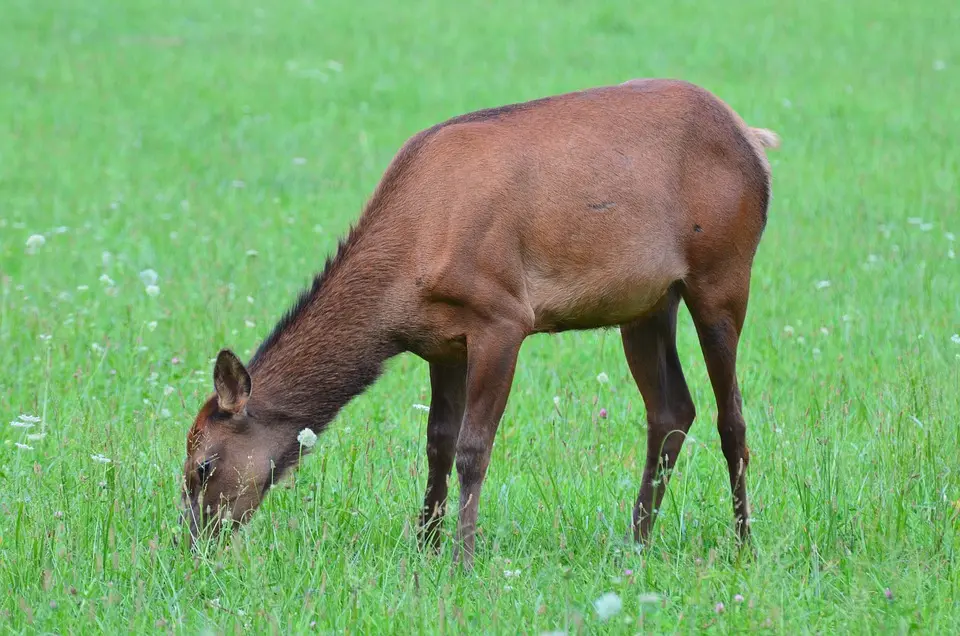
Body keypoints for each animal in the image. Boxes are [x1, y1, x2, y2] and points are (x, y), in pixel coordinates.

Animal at [182, 76, 780, 568]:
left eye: (203, 466)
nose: (190, 542)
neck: (402, 282)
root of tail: (754, 139)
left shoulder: (502, 316)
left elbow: (473, 448)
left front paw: (461, 560)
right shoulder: (440, 342)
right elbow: (437, 444)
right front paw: (424, 544)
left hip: (722, 272)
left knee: (731, 417)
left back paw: (744, 544)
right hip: (647, 304)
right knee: (672, 409)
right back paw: (636, 541)